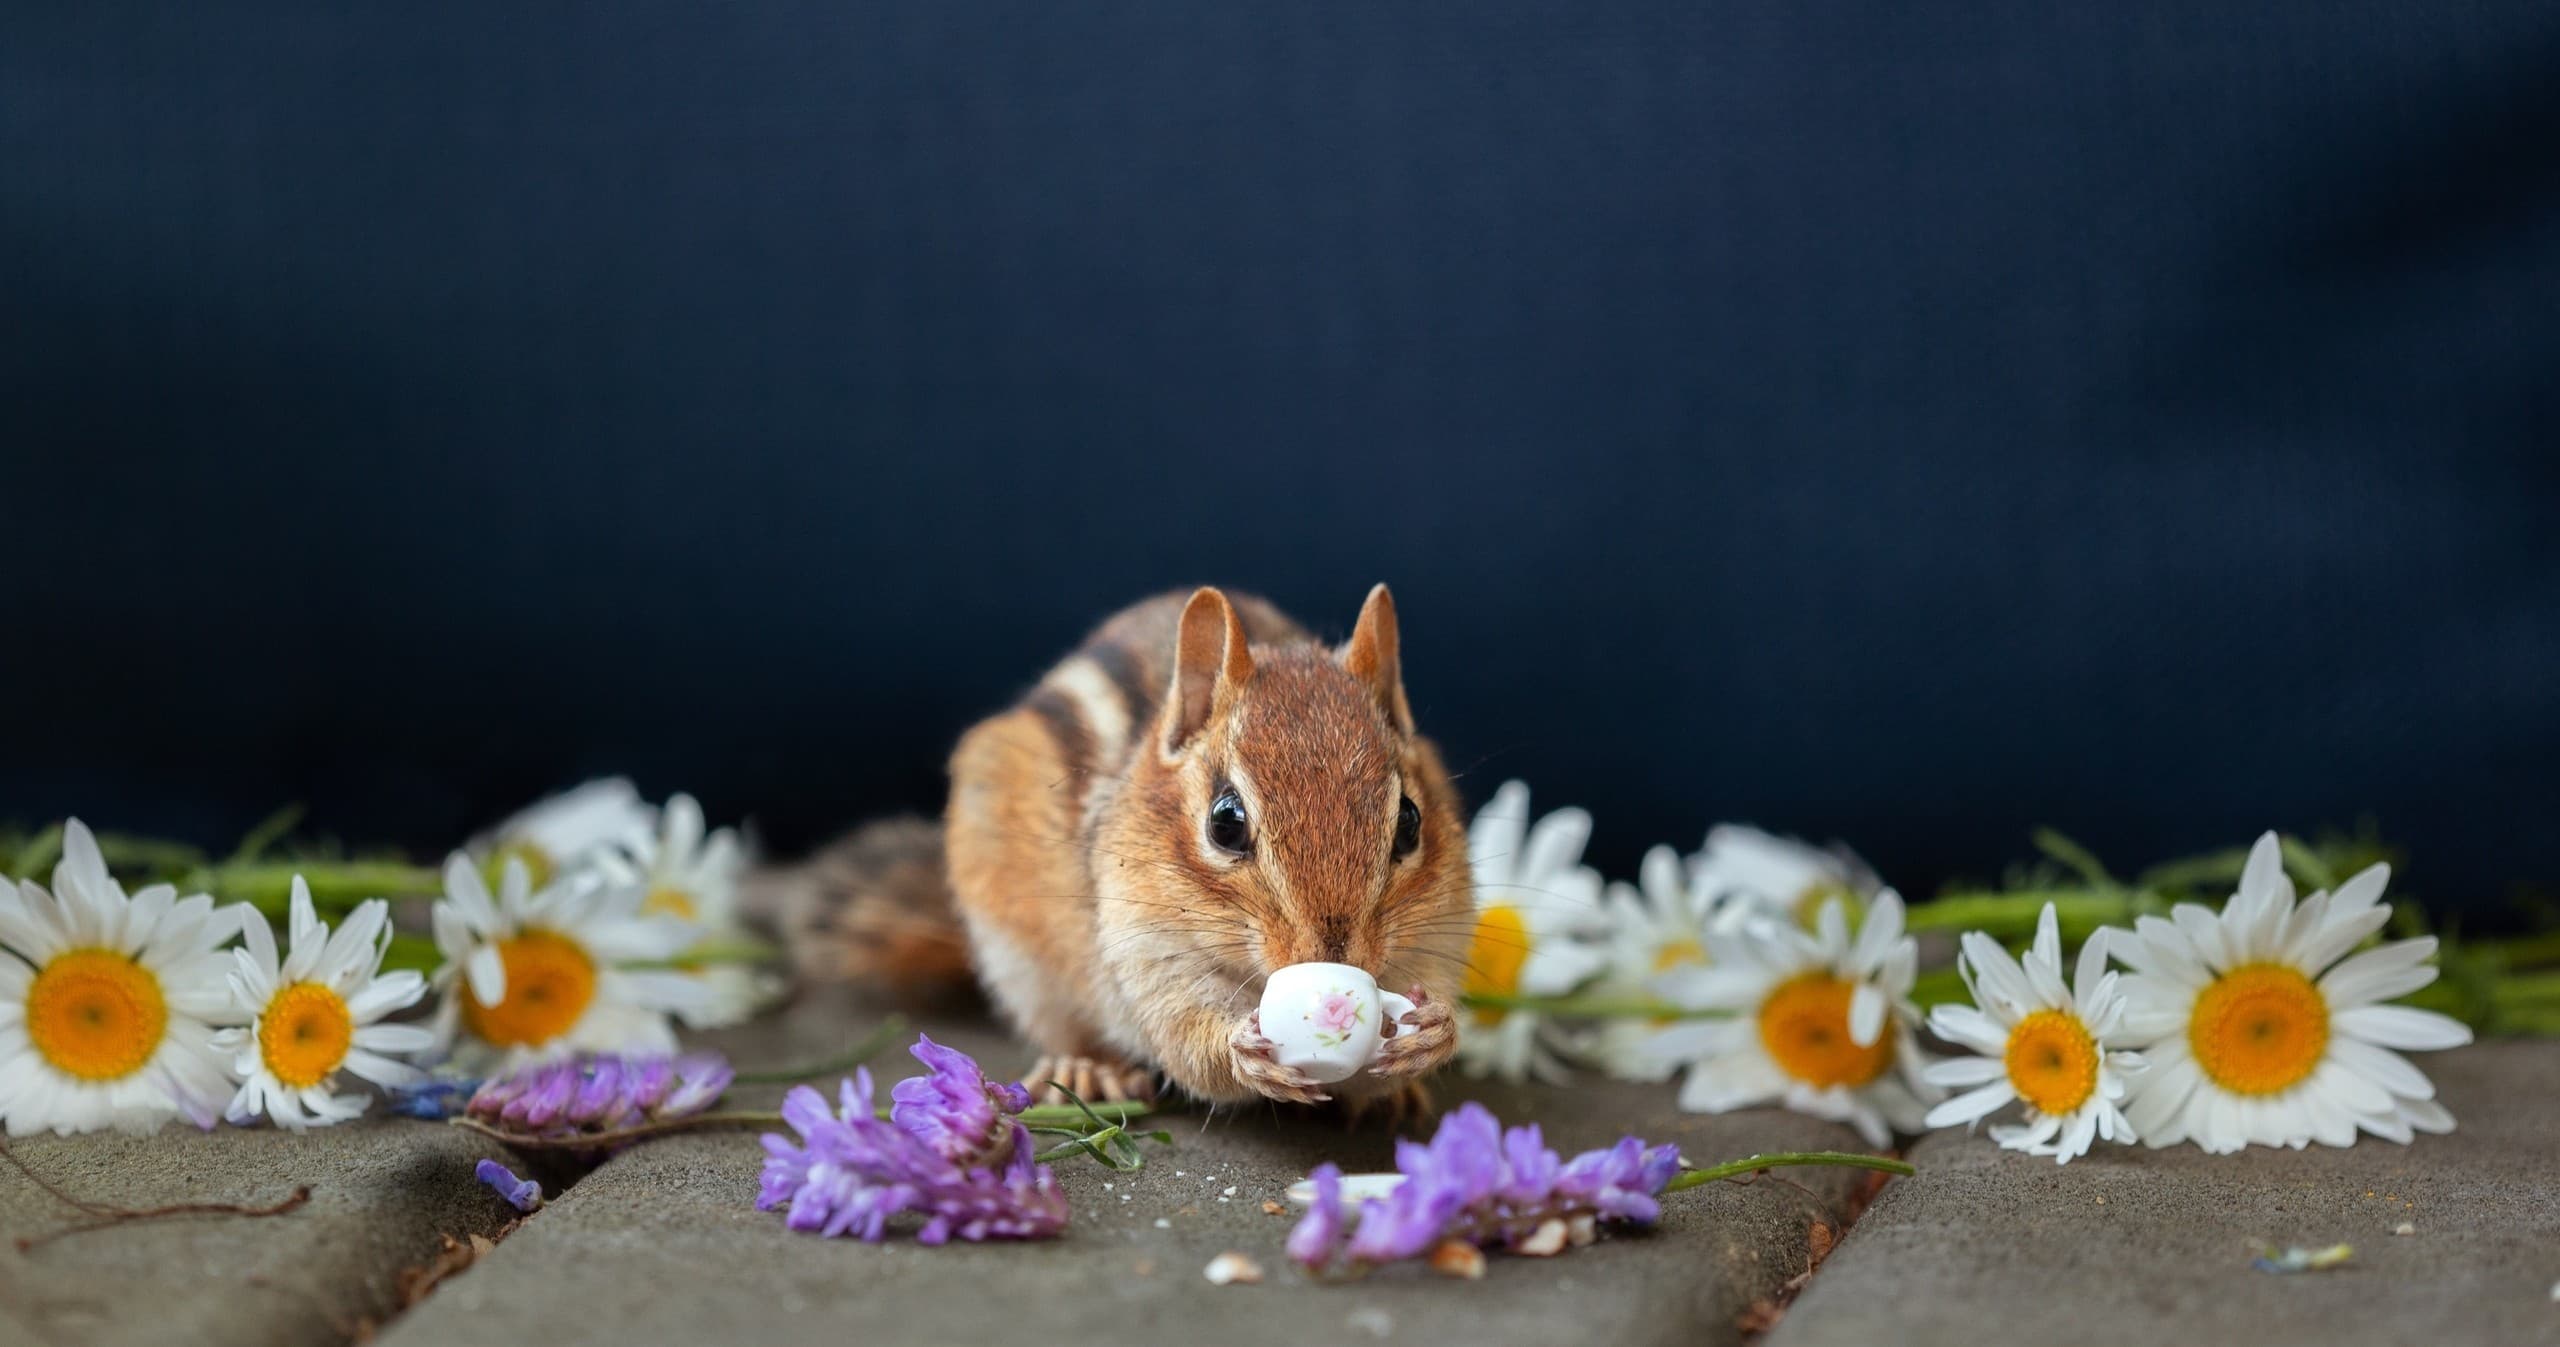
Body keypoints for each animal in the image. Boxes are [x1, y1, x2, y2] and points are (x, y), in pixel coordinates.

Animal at [751, 585, 1474, 1111]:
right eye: (1226, 823)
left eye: (1410, 821)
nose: (1335, 955)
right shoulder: (1142, 945)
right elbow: (1183, 1040)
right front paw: (1236, 1048)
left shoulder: (1442, 931)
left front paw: (1431, 1039)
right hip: (1021, 964)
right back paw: (1088, 1067)